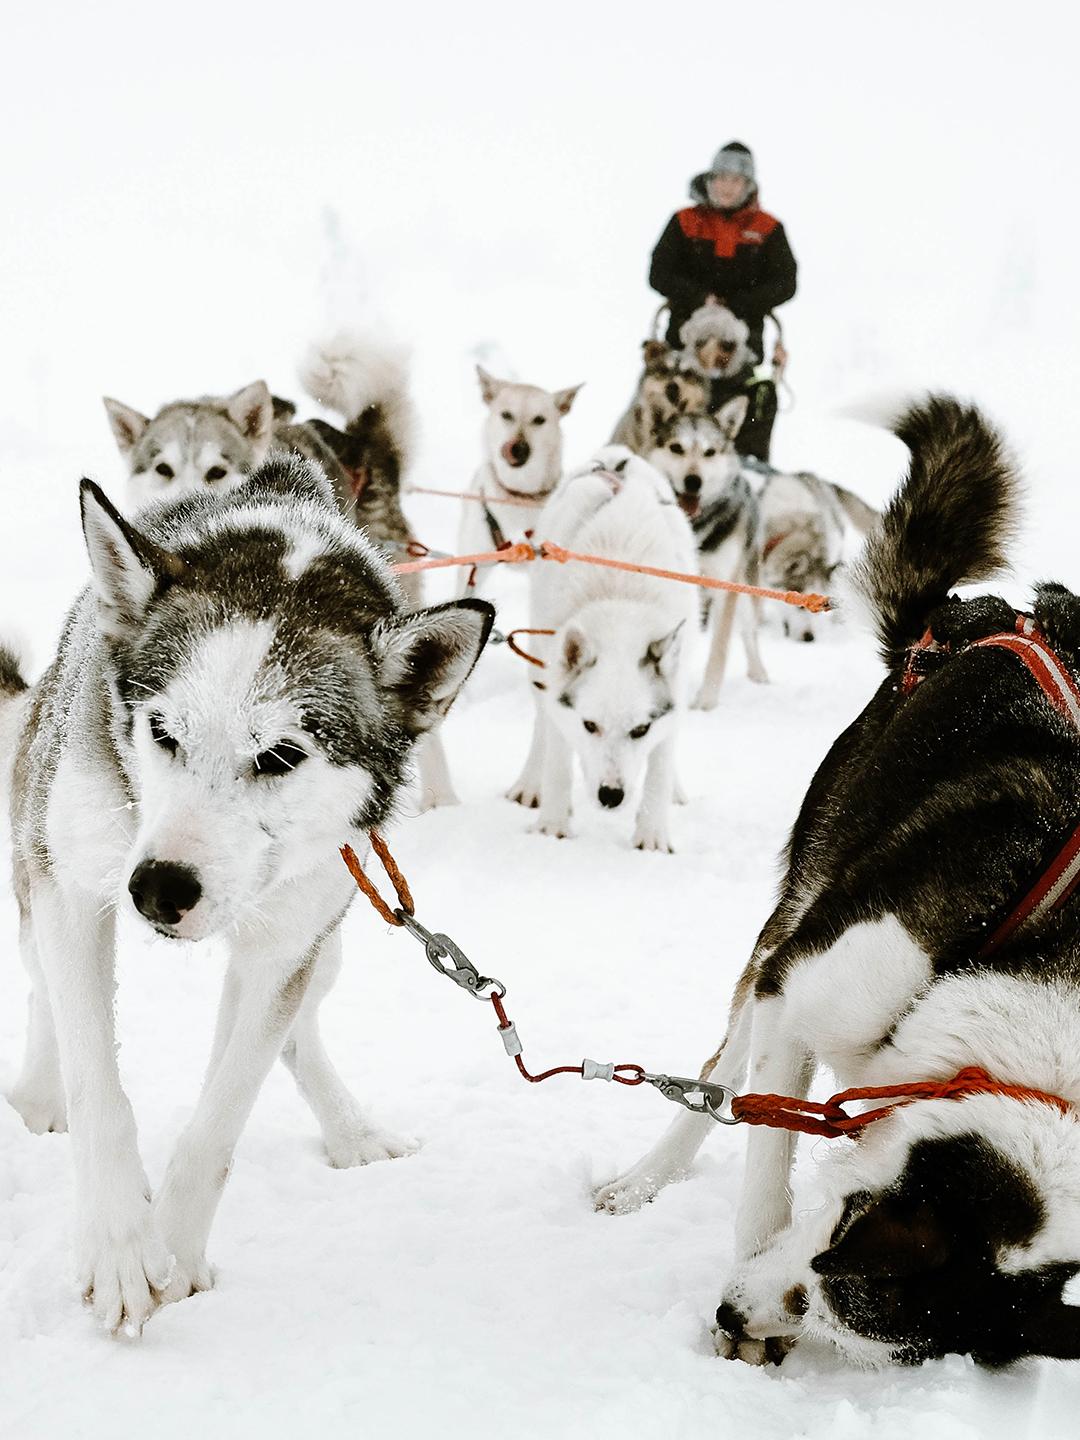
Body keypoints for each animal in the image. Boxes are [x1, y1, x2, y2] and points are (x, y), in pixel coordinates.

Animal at [3, 460, 495, 1336]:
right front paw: (121, 1245)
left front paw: (175, 1250)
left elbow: (221, 1115)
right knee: (43, 995)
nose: (158, 887)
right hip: (40, 871)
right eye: (162, 733)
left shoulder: (281, 949)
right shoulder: (73, 895)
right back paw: (37, 1093)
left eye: (281, 755)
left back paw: (351, 1130)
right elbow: (100, 1087)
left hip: (327, 941)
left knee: (295, 1033)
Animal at [509, 449, 702, 846]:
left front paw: (652, 837)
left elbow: (659, 767)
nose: (611, 796)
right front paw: (552, 826)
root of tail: (617, 455)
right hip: (540, 663)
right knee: (543, 727)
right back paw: (532, 783)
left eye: (640, 730)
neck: (622, 595)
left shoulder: (672, 695)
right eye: (590, 725)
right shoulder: (558, 694)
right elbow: (557, 759)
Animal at [650, 403, 771, 705]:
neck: (696, 526)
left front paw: (706, 701)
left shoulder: (726, 587)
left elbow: (719, 648)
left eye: (710, 452)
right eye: (676, 447)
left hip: (745, 589)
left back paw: (758, 673)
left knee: (748, 632)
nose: (693, 481)